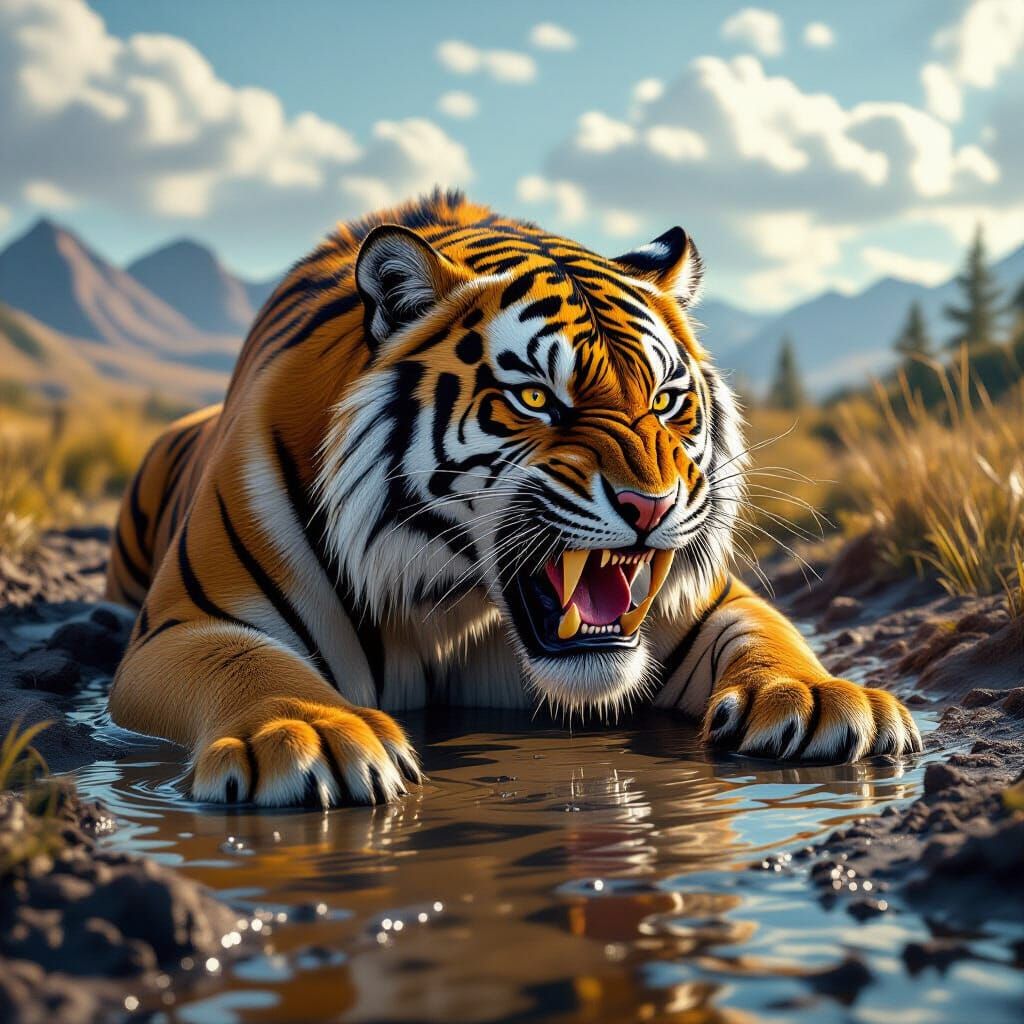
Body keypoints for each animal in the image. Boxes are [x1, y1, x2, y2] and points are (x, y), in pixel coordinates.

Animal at [105, 190, 921, 808]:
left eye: (665, 401)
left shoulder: (702, 602)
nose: (651, 506)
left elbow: (769, 634)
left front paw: (820, 699)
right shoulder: (185, 625)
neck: (454, 604)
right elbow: (249, 664)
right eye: (535, 398)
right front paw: (308, 736)